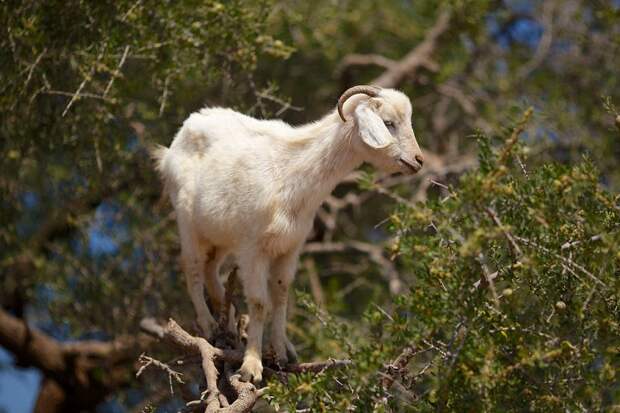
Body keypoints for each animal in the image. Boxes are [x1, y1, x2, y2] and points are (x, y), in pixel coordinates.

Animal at [153, 84, 424, 384]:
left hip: (220, 233)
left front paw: (281, 353)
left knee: (211, 268)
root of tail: (177, 139)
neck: (292, 172)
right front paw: (251, 367)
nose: (418, 160)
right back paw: (210, 325)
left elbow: (281, 297)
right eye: (388, 123)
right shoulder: (253, 249)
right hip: (188, 222)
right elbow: (260, 303)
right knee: (191, 268)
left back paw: (232, 323)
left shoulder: (290, 247)